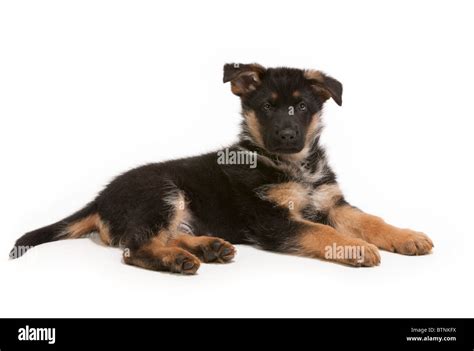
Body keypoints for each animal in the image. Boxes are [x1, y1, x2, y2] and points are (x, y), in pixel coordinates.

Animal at [10, 64, 434, 276]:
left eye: (301, 107)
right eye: (267, 106)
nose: (286, 135)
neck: (293, 165)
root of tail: (99, 198)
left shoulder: (331, 201)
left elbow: (370, 219)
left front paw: (406, 237)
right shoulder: (270, 218)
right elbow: (318, 231)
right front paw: (356, 248)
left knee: (162, 236)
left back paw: (207, 247)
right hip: (161, 191)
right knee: (135, 248)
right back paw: (177, 260)